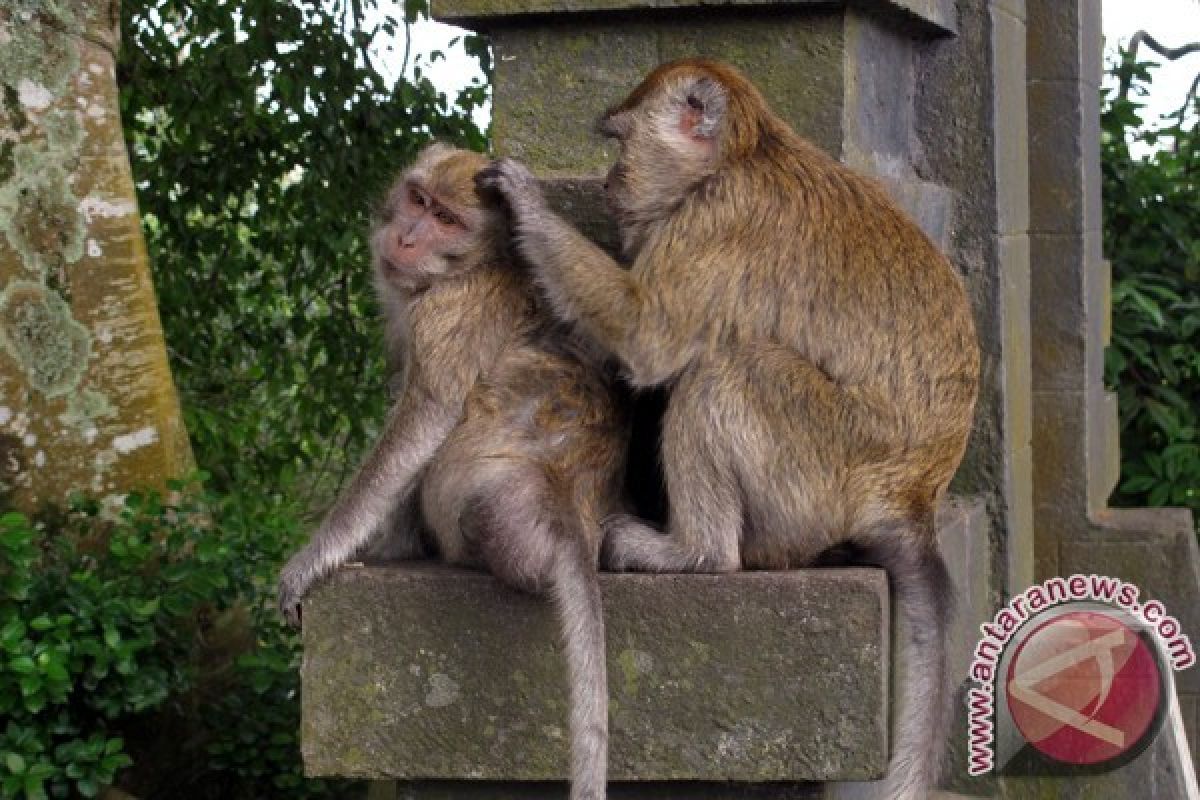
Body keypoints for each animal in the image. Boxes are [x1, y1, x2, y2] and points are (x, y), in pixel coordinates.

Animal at [274, 142, 624, 800]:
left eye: (446, 219)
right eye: (417, 199)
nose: (407, 236)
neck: (469, 268)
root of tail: (572, 500)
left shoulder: (445, 313)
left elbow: (424, 416)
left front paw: (314, 559)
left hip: (502, 509)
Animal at [477, 59, 984, 796]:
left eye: (620, 142)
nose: (608, 184)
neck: (746, 153)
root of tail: (911, 499)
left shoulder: (716, 221)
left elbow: (648, 337)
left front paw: (524, 203)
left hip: (818, 472)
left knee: (725, 372)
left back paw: (694, 553)